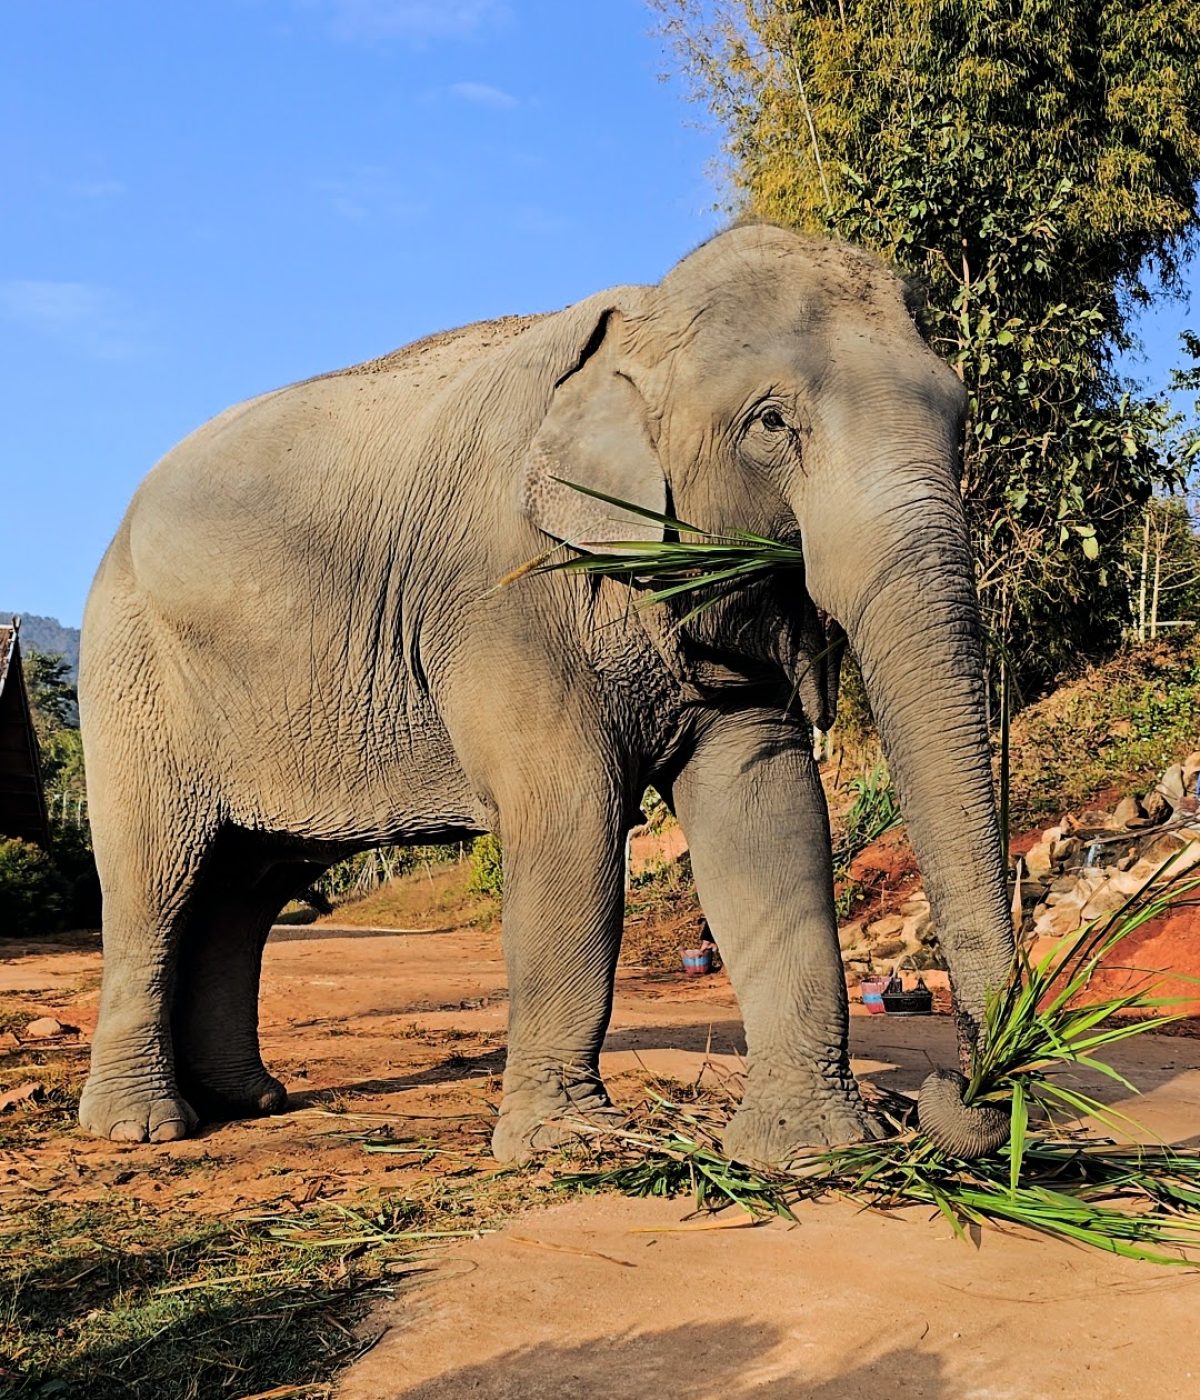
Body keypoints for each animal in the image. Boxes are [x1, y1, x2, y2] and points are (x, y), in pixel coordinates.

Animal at [77, 222, 1014, 1163]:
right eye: (771, 422)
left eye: (960, 414)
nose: (962, 1085)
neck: (644, 317)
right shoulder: (503, 594)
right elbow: (571, 811)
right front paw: (568, 1144)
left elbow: (766, 804)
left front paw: (813, 1147)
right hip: (128, 676)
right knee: (155, 879)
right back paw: (142, 1126)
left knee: (245, 887)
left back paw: (251, 1101)